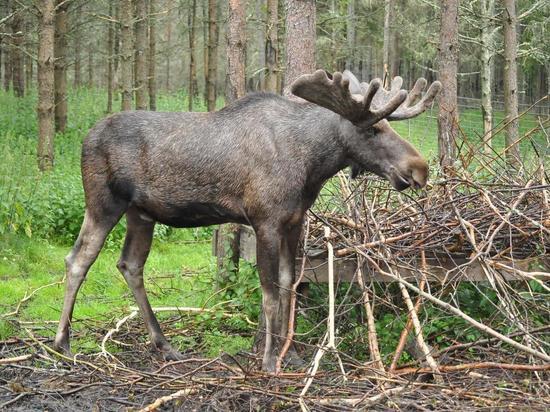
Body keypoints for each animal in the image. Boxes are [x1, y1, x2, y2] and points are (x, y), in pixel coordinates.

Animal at [55, 70, 444, 374]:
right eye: (373, 130)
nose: (419, 168)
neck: (312, 165)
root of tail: (85, 138)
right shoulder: (265, 220)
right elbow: (269, 294)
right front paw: (270, 360)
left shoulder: (294, 221)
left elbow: (289, 285)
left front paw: (293, 355)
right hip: (104, 203)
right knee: (78, 259)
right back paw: (63, 343)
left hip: (142, 213)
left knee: (130, 264)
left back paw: (164, 344)